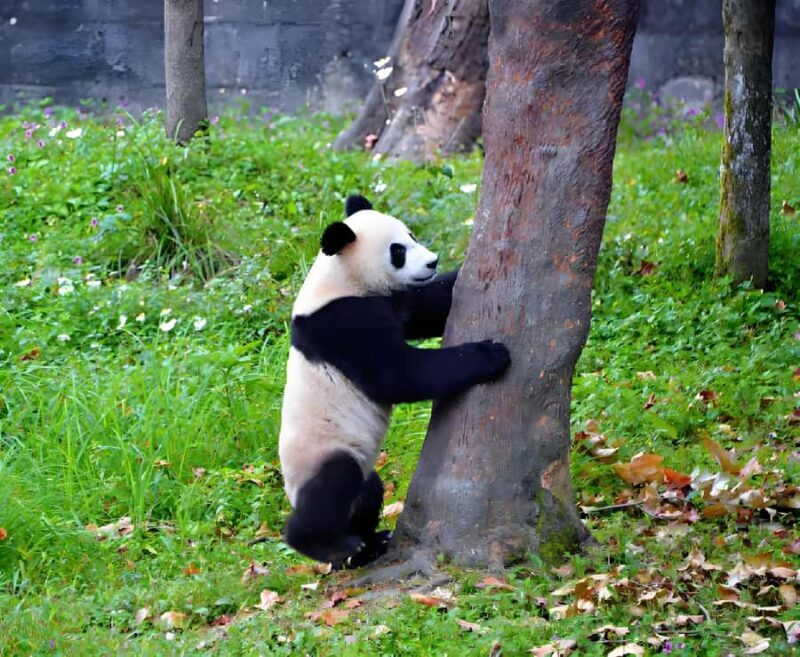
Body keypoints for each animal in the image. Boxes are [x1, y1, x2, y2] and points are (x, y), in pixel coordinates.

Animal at [278, 194, 511, 568]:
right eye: (397, 250)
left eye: (412, 234)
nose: (432, 261)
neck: (340, 278)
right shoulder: (342, 323)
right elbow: (399, 375)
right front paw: (492, 354)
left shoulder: (390, 300)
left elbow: (430, 307)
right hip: (322, 449)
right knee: (332, 485)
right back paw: (326, 544)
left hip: (357, 473)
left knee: (368, 493)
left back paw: (367, 545)